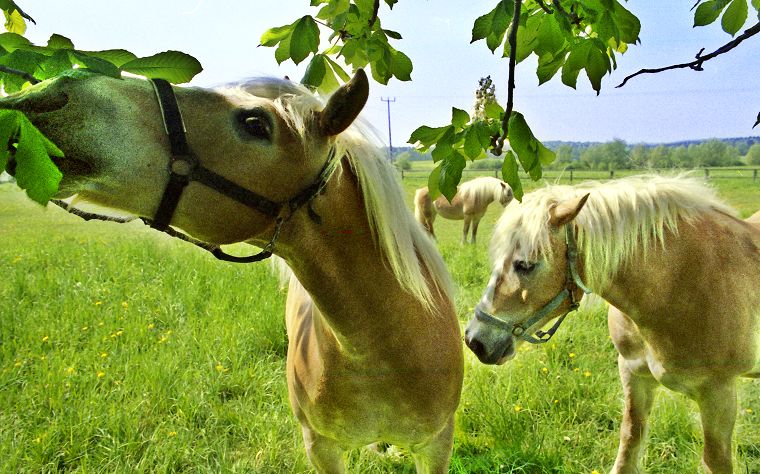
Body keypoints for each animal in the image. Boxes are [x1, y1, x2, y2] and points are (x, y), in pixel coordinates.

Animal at [464, 175, 760, 474]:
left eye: (525, 265)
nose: (475, 341)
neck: (680, 282)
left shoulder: (718, 395)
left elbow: (716, 460)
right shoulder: (634, 375)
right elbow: (629, 443)